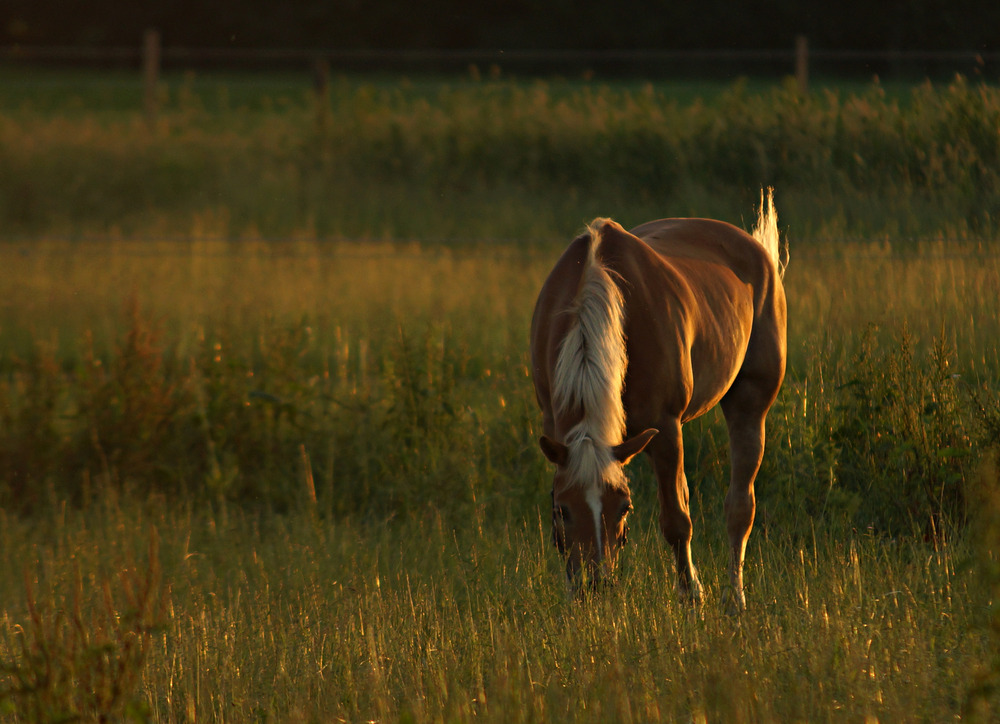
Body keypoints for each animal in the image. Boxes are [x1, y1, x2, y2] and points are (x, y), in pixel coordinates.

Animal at [532, 189, 788, 608]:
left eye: (624, 507)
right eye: (562, 509)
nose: (595, 586)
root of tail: (756, 249)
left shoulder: (665, 429)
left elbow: (676, 521)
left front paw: (691, 597)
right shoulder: (558, 429)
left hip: (749, 405)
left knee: (739, 506)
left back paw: (733, 599)